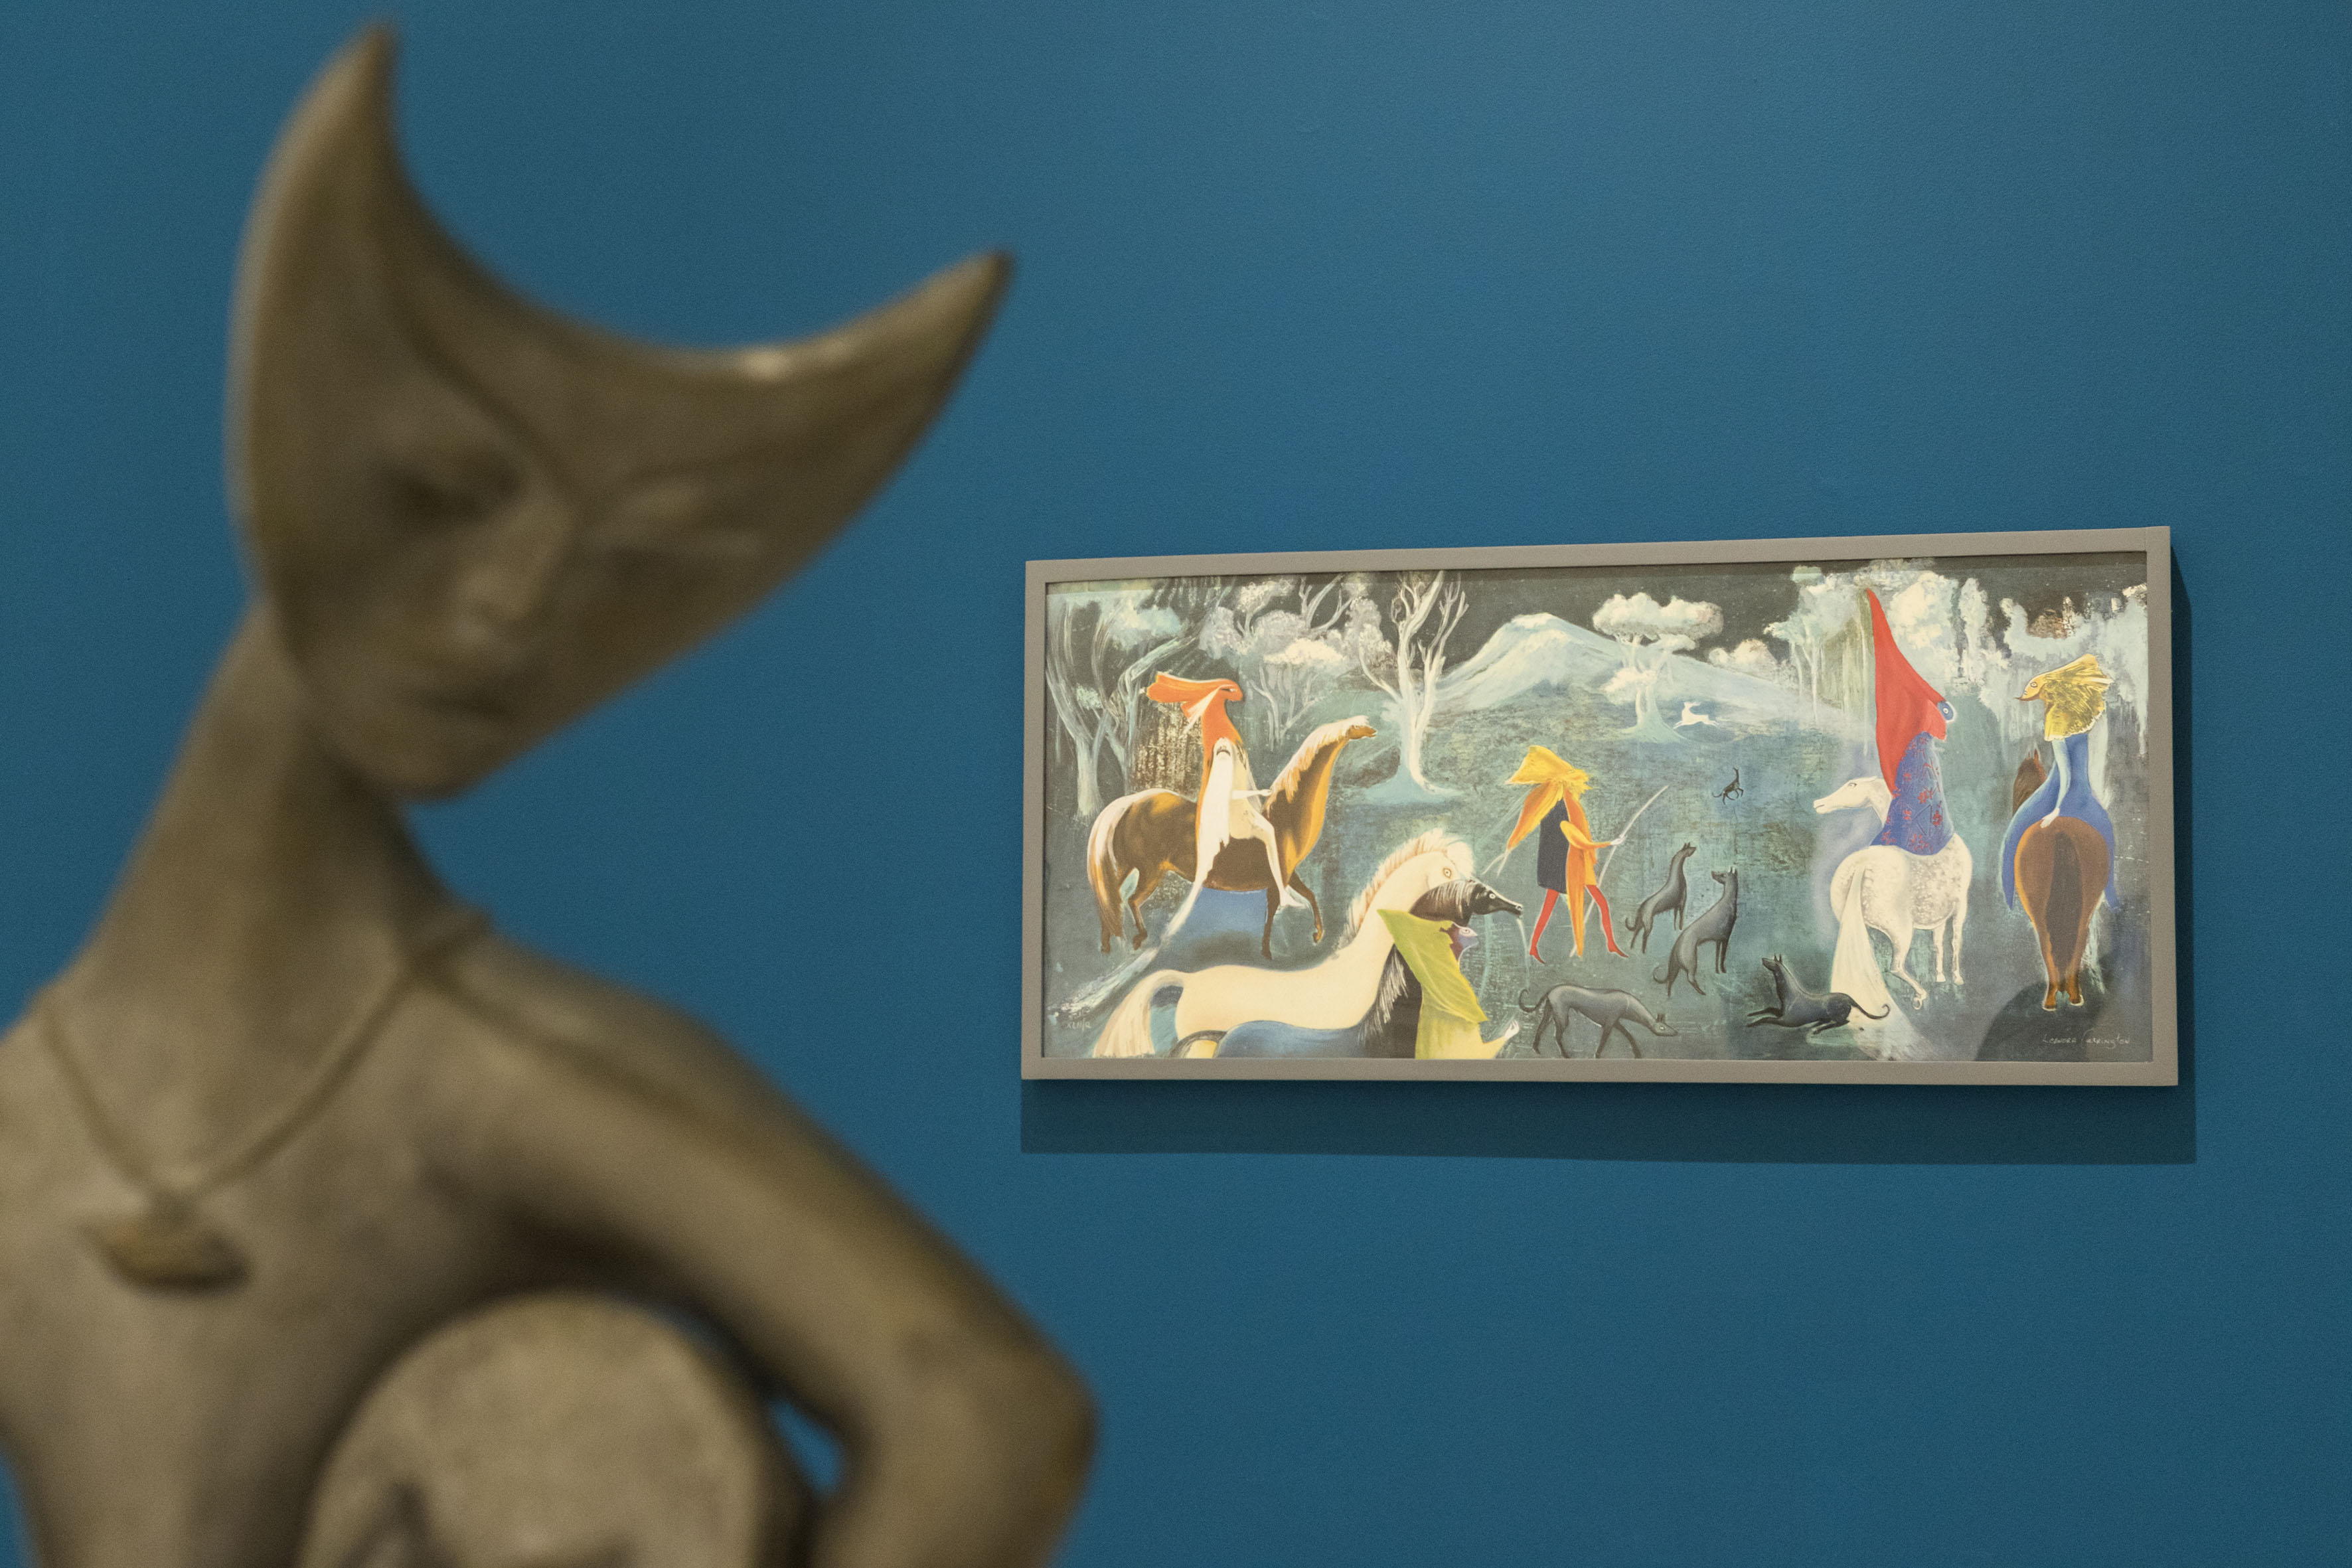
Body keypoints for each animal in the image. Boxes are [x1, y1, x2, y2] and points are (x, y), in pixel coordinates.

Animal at [1086, 718, 1374, 959]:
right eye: (1359, 725)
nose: (1373, 730)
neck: (1286, 815)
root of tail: (1131, 803)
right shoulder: (1279, 878)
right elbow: (1273, 911)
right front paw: (1268, 952)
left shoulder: (1289, 875)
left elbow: (1311, 896)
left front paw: (1317, 934)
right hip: (1150, 871)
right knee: (1131, 900)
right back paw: (1138, 938)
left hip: (1125, 866)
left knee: (1109, 898)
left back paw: (1106, 945)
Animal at [1812, 775, 1972, 1011]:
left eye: (1852, 785)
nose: (1818, 803)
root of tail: (1860, 867)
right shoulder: (1961, 904)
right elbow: (1956, 940)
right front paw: (1957, 978)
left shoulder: (1942, 913)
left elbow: (1939, 943)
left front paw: (1941, 977)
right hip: (1901, 930)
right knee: (1896, 966)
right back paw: (1920, 995)